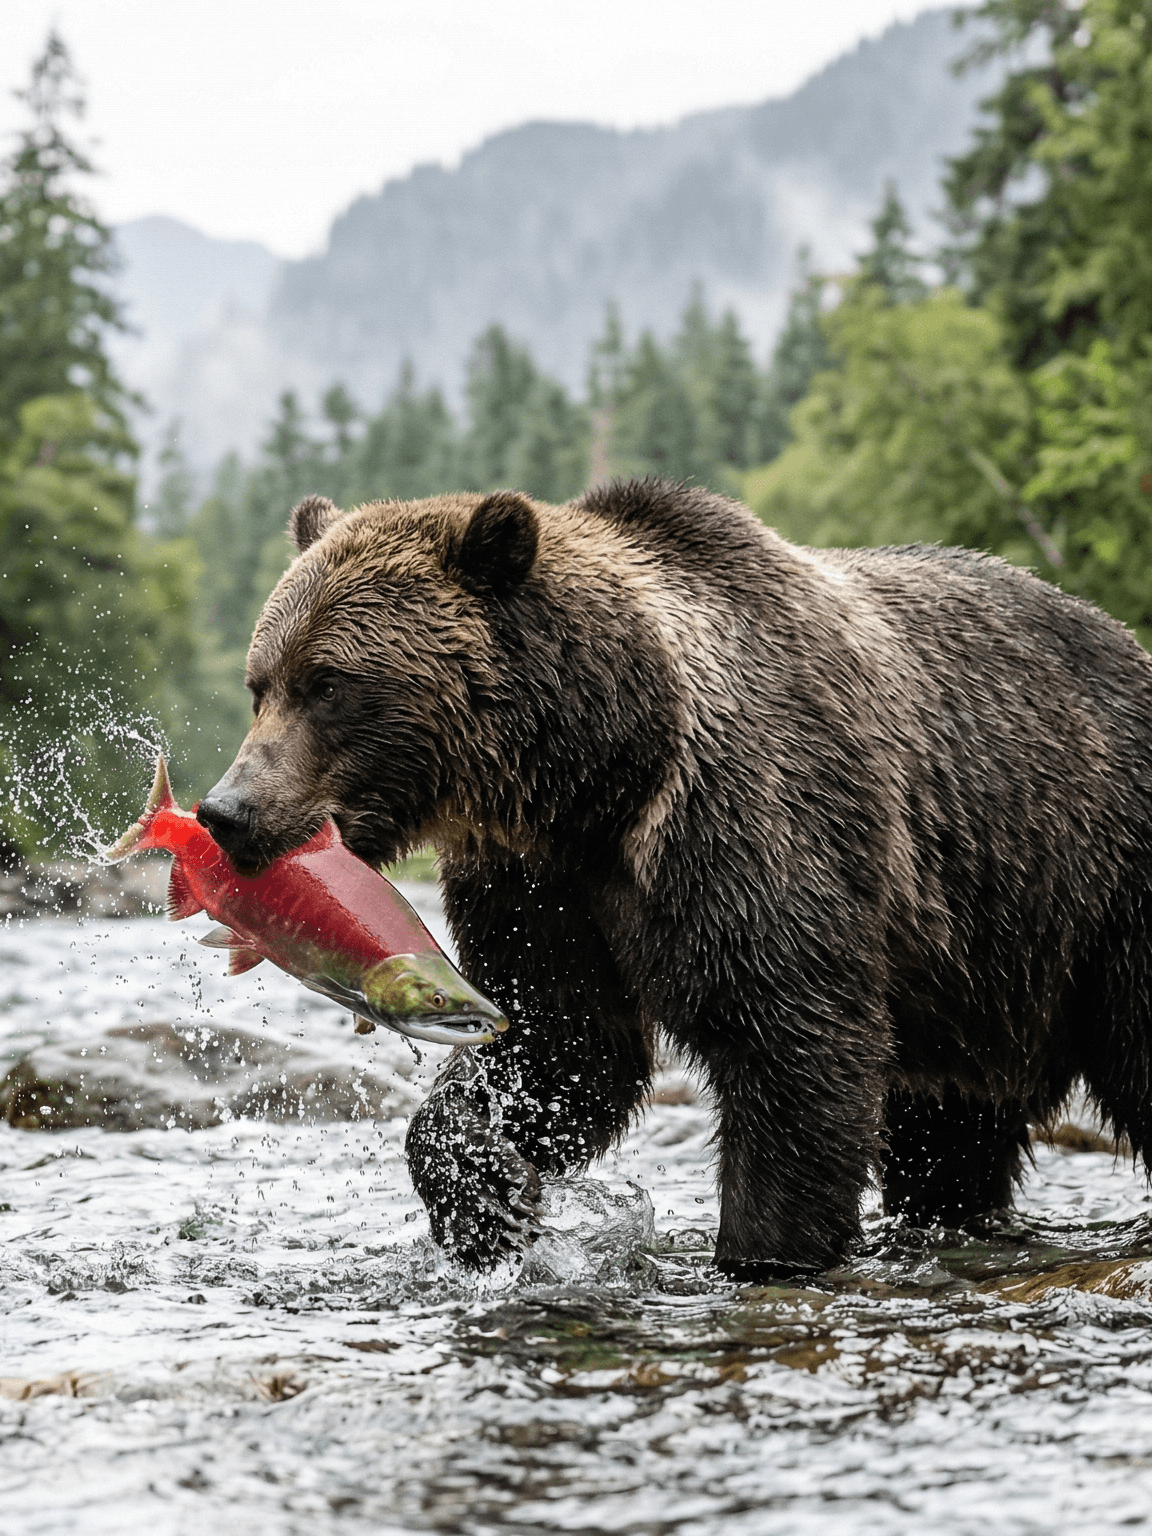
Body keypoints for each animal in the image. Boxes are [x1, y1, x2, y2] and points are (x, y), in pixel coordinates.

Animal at [196, 479, 1152, 1279]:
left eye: (329, 682)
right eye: (260, 683)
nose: (227, 810)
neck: (600, 774)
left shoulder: (746, 825)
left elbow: (793, 1043)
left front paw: (765, 1252)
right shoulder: (540, 886)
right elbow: (560, 1044)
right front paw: (487, 1198)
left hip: (1096, 882)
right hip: (984, 974)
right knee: (949, 1131)